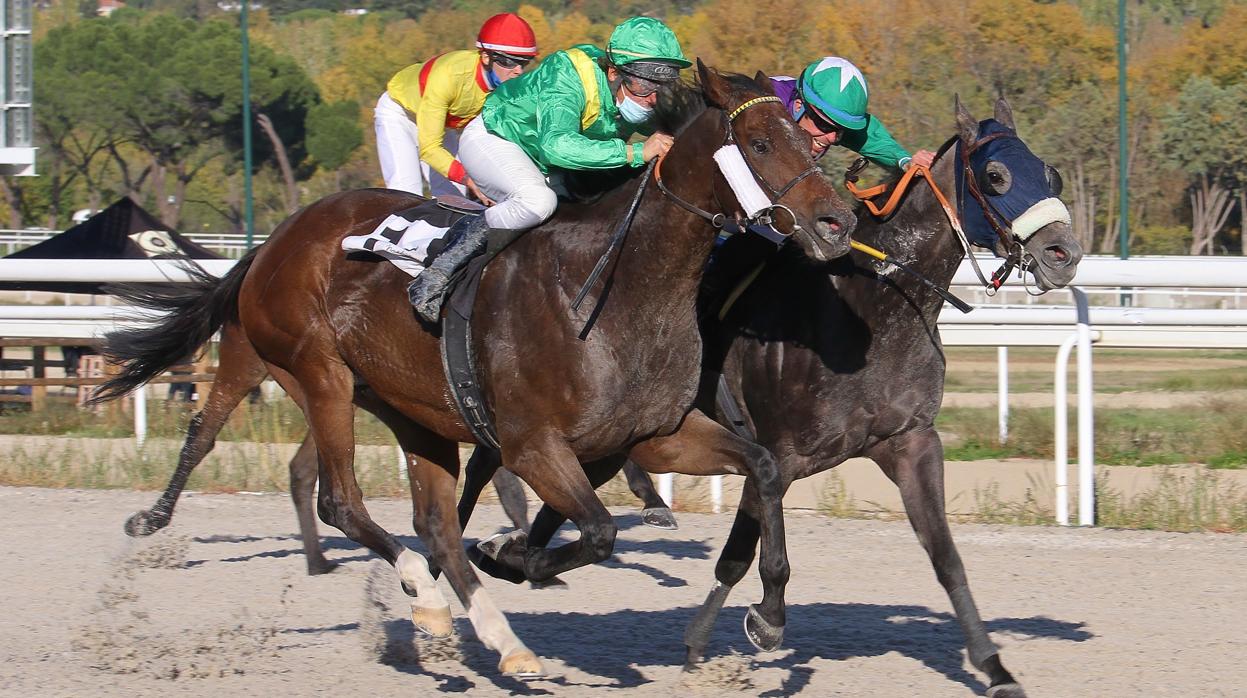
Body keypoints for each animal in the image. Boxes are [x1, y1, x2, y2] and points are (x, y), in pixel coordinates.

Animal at [94, 61, 857, 678]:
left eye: (811, 142)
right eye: (760, 144)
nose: (837, 223)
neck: (617, 286)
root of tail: (277, 237)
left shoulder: (653, 435)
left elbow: (762, 466)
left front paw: (770, 615)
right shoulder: (532, 443)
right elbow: (596, 532)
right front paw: (517, 556)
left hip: (413, 412)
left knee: (433, 525)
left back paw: (496, 638)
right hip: (316, 373)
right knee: (331, 495)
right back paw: (418, 595)